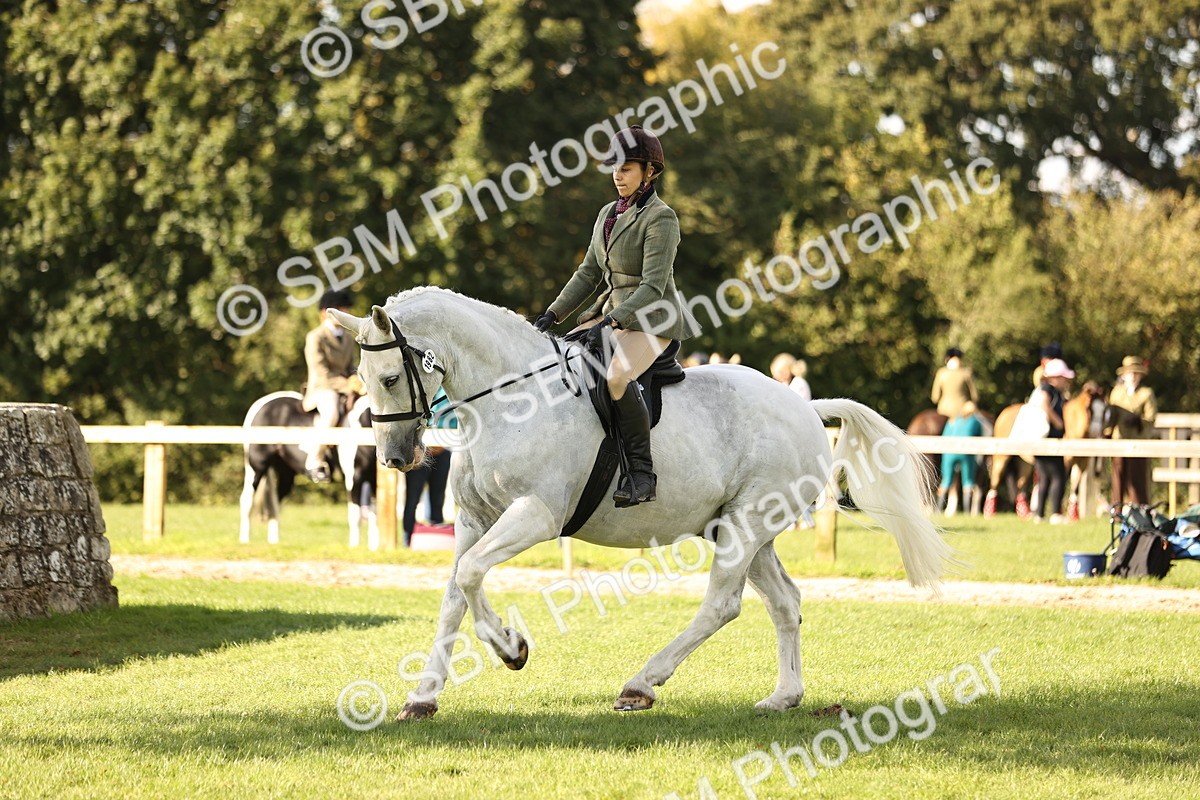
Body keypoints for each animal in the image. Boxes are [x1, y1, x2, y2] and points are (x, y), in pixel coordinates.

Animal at [239, 391, 379, 547]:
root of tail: (259, 405)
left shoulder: (373, 479)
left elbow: (374, 514)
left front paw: (374, 548)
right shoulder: (354, 477)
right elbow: (356, 515)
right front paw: (354, 547)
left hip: (285, 473)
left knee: (275, 504)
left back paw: (274, 542)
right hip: (256, 467)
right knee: (247, 500)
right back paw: (244, 540)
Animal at [331, 287, 951, 720]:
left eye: (391, 377)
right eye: (360, 377)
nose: (395, 458)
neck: (509, 399)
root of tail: (805, 406)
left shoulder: (534, 516)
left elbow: (472, 574)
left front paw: (512, 648)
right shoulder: (473, 519)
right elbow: (455, 593)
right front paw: (423, 696)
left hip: (746, 527)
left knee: (721, 605)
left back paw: (641, 684)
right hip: (742, 529)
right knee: (785, 603)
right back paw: (783, 697)